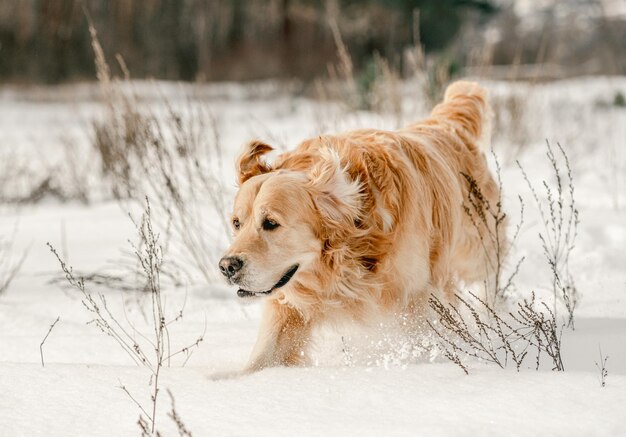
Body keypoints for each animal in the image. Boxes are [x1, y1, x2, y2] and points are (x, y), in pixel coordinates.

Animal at [219, 80, 502, 370]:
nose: (227, 267)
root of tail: (444, 125)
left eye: (271, 223)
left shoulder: (417, 300)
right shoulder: (287, 306)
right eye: (237, 223)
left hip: (476, 251)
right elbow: (260, 361)